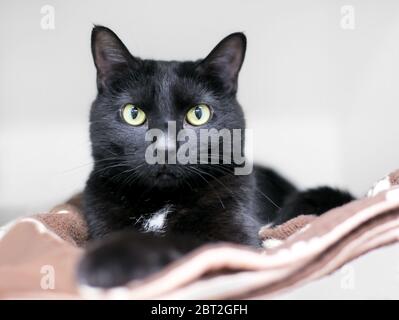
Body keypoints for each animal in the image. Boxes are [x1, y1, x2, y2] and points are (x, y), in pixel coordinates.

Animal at [77, 26, 354, 288]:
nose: (165, 148)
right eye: (133, 113)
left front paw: (108, 260)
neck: (161, 200)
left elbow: (182, 241)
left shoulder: (233, 239)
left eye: (198, 113)